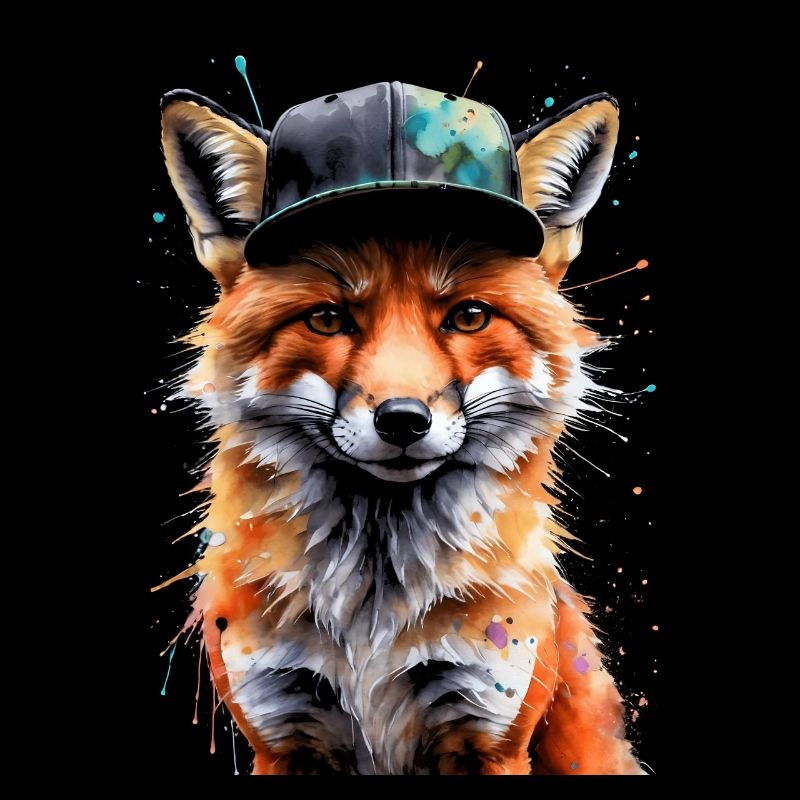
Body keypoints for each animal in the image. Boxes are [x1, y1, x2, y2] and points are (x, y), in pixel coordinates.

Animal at [155, 81, 645, 775]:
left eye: (469, 317)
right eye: (328, 319)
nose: (404, 420)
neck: (373, 611)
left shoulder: (490, 732)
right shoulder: (282, 734)